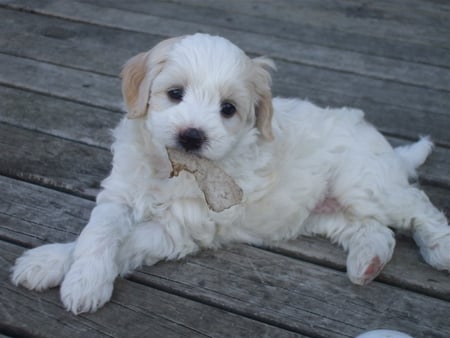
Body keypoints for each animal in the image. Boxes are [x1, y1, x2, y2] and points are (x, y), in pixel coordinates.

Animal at [11, 33, 450, 314]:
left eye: (228, 109)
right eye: (175, 94)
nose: (192, 135)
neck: (174, 170)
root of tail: (387, 150)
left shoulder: (179, 227)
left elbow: (128, 242)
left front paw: (80, 282)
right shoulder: (119, 192)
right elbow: (97, 234)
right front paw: (58, 266)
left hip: (362, 182)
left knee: (417, 207)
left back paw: (439, 247)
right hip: (324, 212)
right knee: (373, 229)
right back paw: (367, 262)